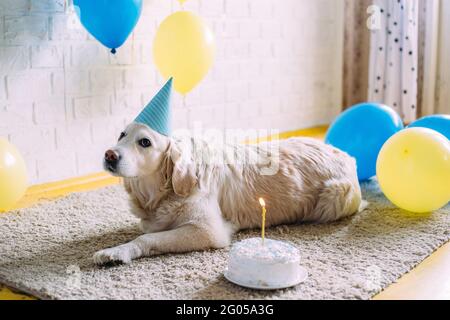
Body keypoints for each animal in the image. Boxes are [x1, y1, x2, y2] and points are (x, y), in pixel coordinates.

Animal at [93, 121, 364, 264]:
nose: (109, 154)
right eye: (122, 134)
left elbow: (146, 238)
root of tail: (347, 155)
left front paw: (116, 251)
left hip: (334, 198)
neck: (163, 190)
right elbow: (148, 230)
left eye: (145, 142)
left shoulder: (208, 230)